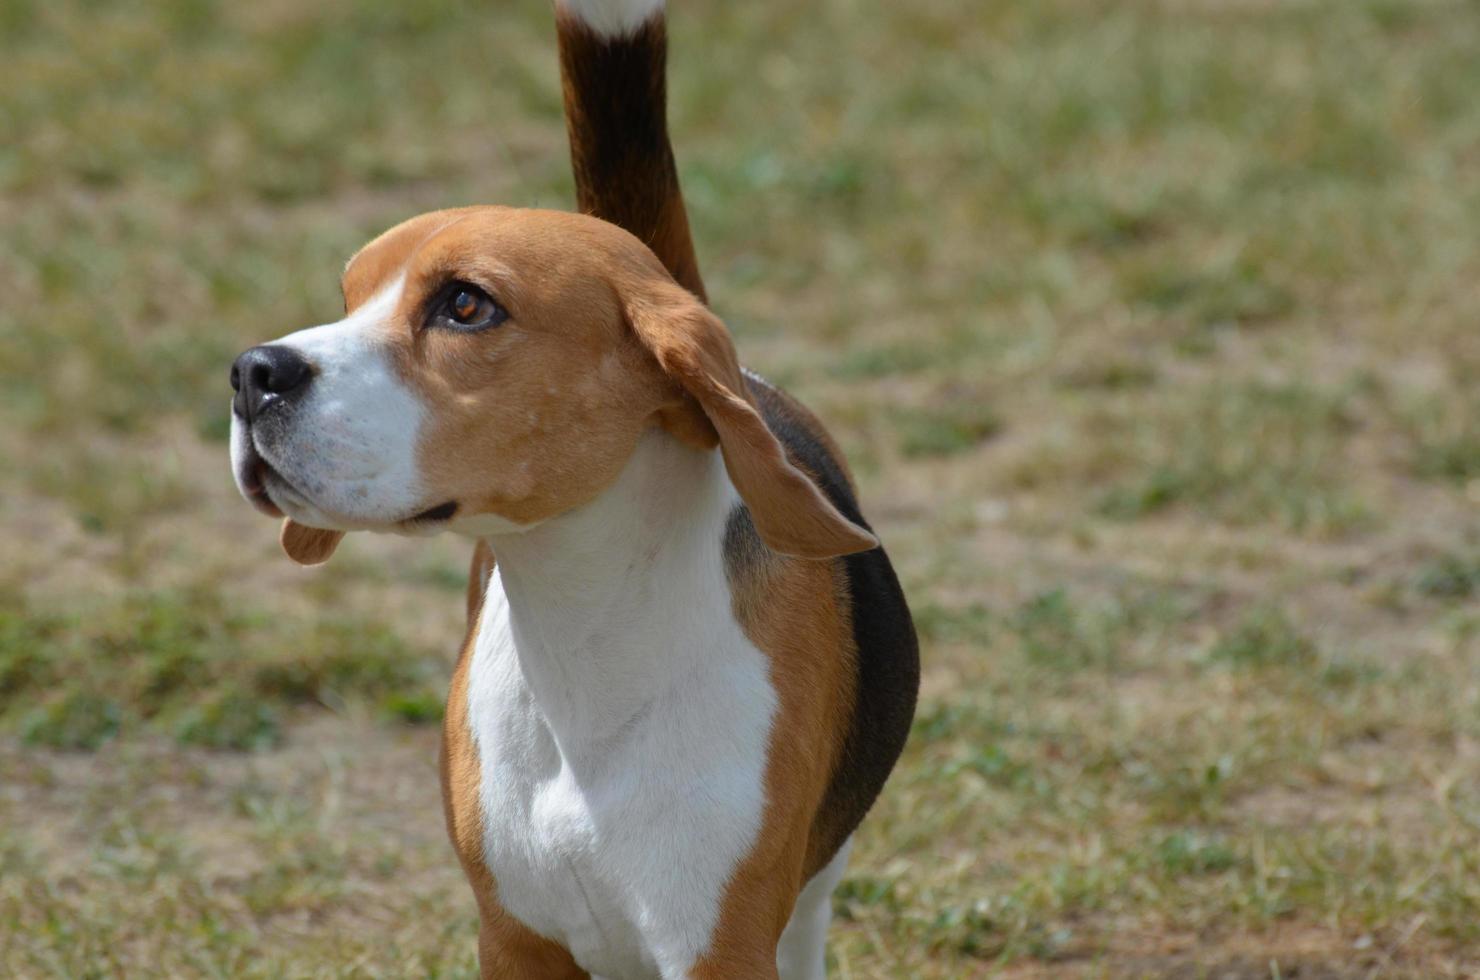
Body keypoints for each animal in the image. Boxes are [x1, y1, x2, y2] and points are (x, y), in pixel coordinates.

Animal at [224, 1, 917, 980]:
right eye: (351, 294)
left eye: (466, 305)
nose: (251, 374)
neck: (584, 638)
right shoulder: (514, 937)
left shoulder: (721, 943)